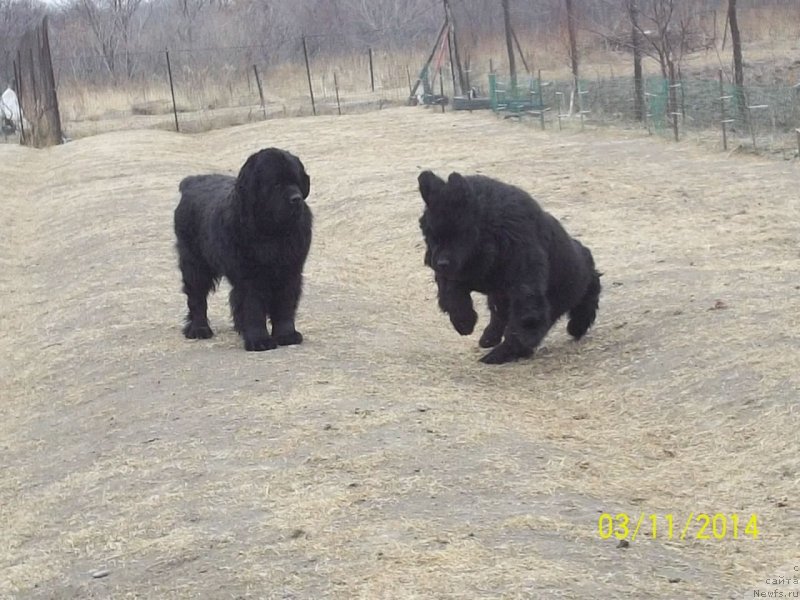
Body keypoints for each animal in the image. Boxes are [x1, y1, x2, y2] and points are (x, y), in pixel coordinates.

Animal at [175, 147, 312, 350]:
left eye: (296, 181)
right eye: (276, 184)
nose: (296, 199)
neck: (272, 232)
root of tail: (190, 182)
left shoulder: (290, 272)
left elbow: (284, 306)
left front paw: (286, 335)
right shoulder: (249, 276)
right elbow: (253, 307)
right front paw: (259, 340)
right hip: (194, 264)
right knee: (197, 298)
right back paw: (199, 329)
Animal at [418, 170, 600, 366]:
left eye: (458, 233)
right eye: (430, 234)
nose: (440, 262)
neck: (488, 234)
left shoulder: (524, 278)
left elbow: (525, 318)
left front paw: (506, 351)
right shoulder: (459, 274)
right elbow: (452, 294)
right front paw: (464, 322)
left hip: (571, 283)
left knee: (589, 285)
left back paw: (576, 326)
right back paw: (489, 338)